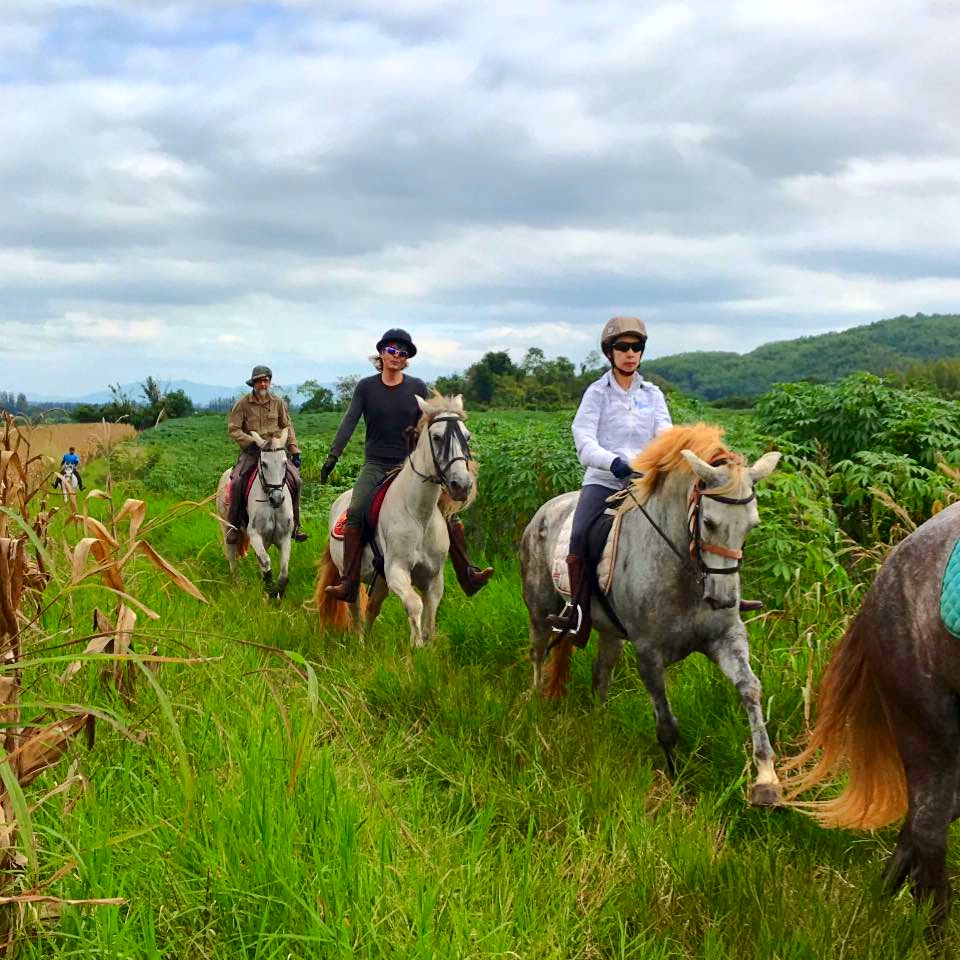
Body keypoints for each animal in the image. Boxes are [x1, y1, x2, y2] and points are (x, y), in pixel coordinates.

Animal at [216, 429, 293, 598]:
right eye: (263, 463)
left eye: (285, 462)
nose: (277, 498)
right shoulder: (255, 535)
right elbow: (265, 561)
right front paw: (270, 591)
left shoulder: (284, 537)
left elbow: (284, 572)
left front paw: (277, 593)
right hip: (226, 526)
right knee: (231, 553)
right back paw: (237, 584)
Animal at [521, 424, 782, 805]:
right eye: (708, 522)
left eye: (753, 525)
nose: (723, 599)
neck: (684, 570)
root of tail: (545, 510)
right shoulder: (648, 652)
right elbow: (667, 725)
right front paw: (676, 783)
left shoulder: (726, 638)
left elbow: (750, 688)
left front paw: (766, 779)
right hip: (540, 607)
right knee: (539, 652)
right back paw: (536, 703)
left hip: (610, 631)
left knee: (601, 673)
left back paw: (601, 722)